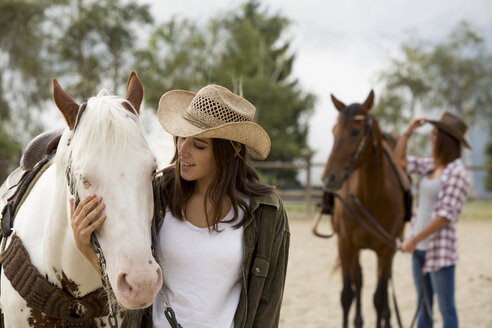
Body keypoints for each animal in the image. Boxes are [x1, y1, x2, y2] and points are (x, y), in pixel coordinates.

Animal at [322, 90, 404, 328]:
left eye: (355, 131)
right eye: (334, 131)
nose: (329, 177)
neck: (370, 199)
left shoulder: (386, 249)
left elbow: (379, 298)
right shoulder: (346, 244)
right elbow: (346, 295)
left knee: (384, 290)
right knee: (359, 282)